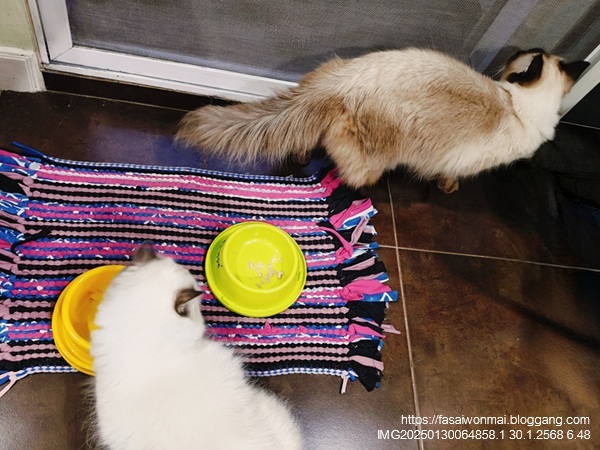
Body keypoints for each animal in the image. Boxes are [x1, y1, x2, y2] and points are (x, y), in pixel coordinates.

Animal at [176, 48, 589, 193]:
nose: (508, 57)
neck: (516, 104)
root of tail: (343, 80)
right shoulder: (462, 161)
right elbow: (449, 177)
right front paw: (448, 188)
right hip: (372, 162)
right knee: (348, 170)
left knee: (303, 140)